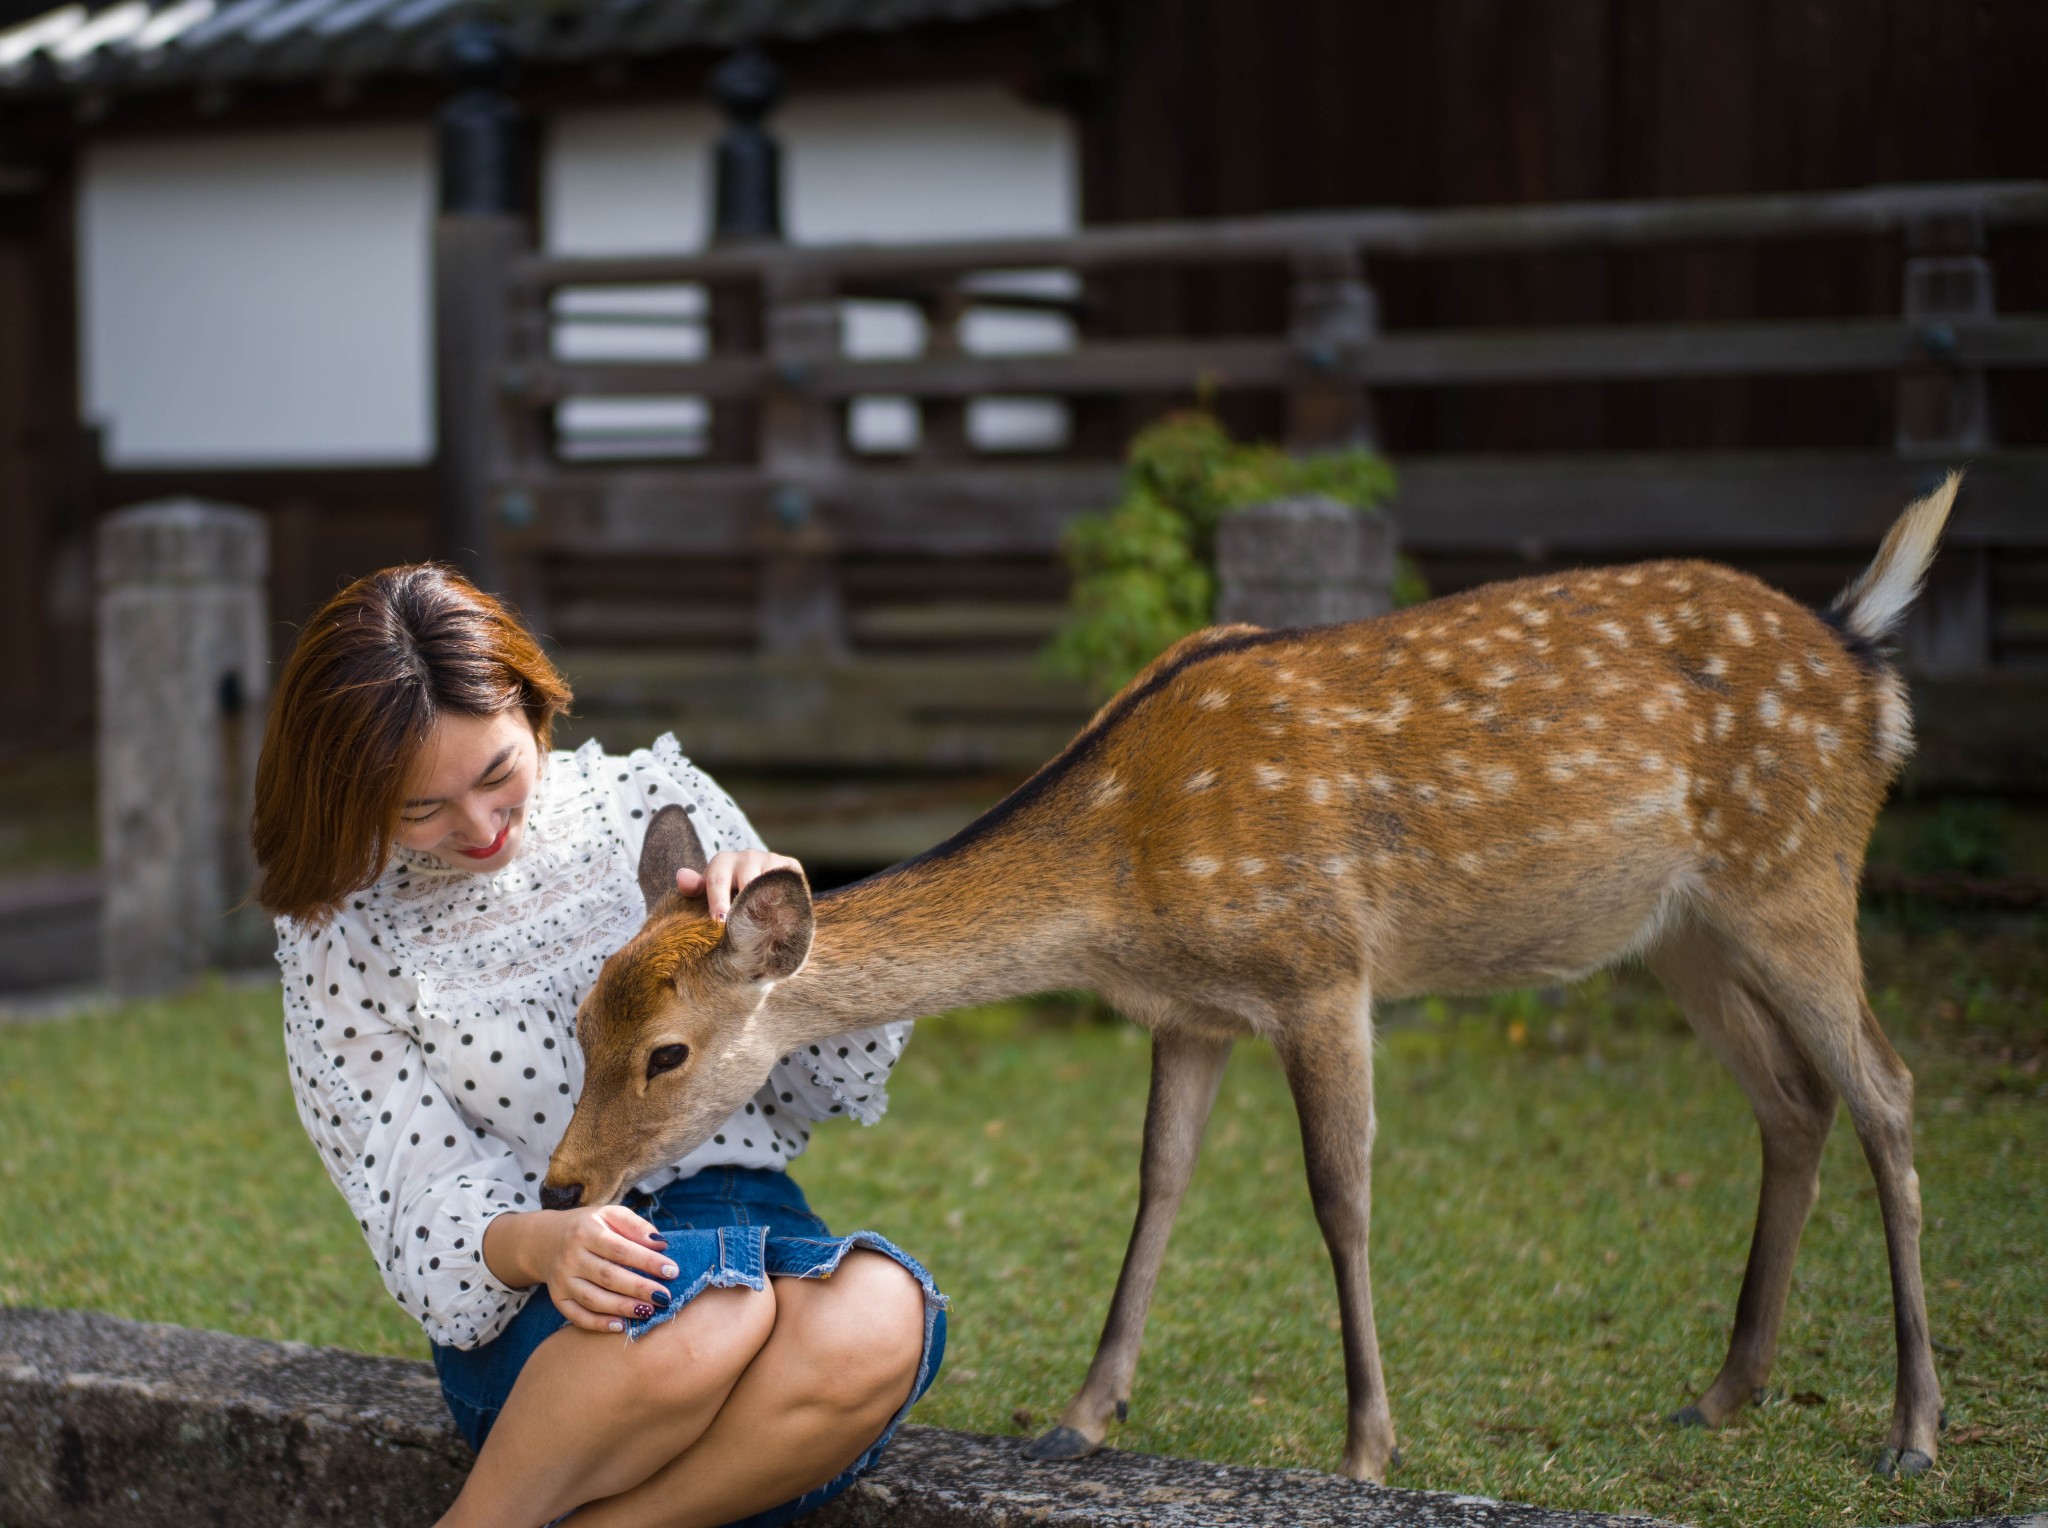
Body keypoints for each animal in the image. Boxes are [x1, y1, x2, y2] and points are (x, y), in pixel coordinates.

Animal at [536, 473, 1957, 1474]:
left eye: (665, 1051)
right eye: (580, 1021)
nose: (560, 1184)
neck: (1123, 879)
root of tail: (1862, 660)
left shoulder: (1320, 968)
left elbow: (1339, 1192)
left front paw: (1368, 1443)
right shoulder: (1189, 1011)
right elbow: (1157, 1180)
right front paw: (1080, 1415)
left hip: (1794, 867)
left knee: (1885, 1088)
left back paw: (1909, 1429)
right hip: (1679, 928)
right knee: (1792, 1099)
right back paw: (1722, 1392)